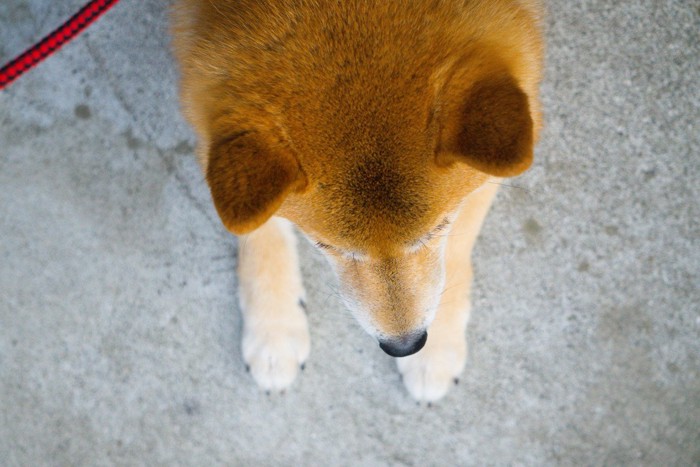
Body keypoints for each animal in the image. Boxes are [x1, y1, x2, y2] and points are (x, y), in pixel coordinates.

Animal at [172, 0, 544, 402]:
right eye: (326, 246)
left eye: (438, 228)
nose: (405, 345)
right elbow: (260, 233)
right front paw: (274, 328)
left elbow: (456, 250)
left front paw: (438, 346)